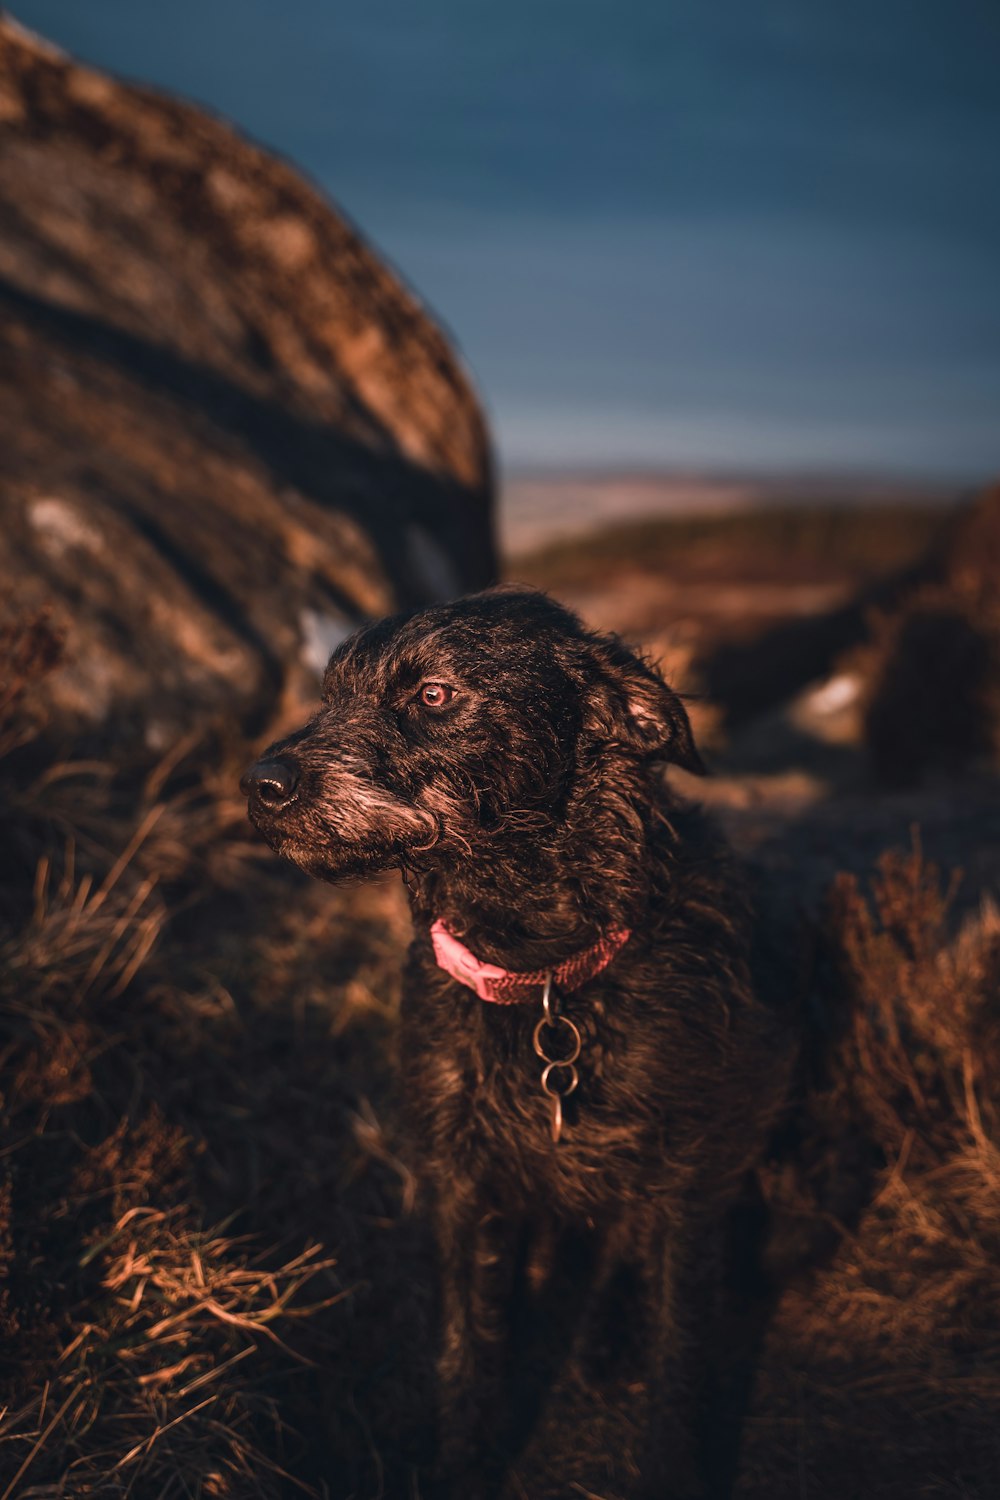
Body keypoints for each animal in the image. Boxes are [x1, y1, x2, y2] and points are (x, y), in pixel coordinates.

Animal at [239, 588, 791, 1500]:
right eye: (329, 694)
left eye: (433, 695)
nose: (260, 784)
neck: (541, 974)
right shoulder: (461, 1183)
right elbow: (467, 1359)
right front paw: (462, 1466)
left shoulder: (683, 1183)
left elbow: (677, 1364)